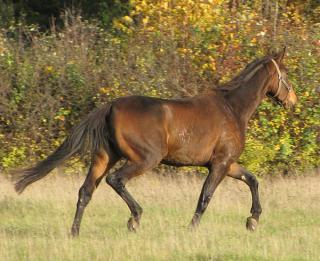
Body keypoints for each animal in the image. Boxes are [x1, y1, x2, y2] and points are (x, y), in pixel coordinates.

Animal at [13, 47, 296, 236]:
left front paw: (253, 220)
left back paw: (75, 232)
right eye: (286, 75)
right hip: (146, 159)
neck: (232, 109)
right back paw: (134, 219)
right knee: (116, 180)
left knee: (85, 191)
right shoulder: (220, 164)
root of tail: (110, 106)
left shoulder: (226, 163)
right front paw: (191, 229)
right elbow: (205, 197)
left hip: (105, 157)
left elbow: (252, 180)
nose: (293, 101)